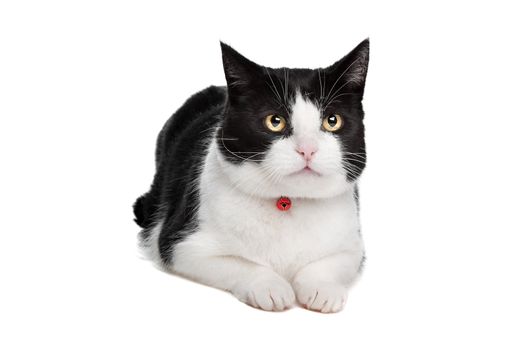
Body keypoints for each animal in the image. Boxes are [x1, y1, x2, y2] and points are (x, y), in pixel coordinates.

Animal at [134, 39, 368, 314]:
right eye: (275, 121)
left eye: (332, 121)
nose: (307, 149)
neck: (289, 202)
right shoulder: (181, 245)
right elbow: (240, 264)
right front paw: (271, 287)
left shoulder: (353, 246)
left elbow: (329, 264)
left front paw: (322, 289)